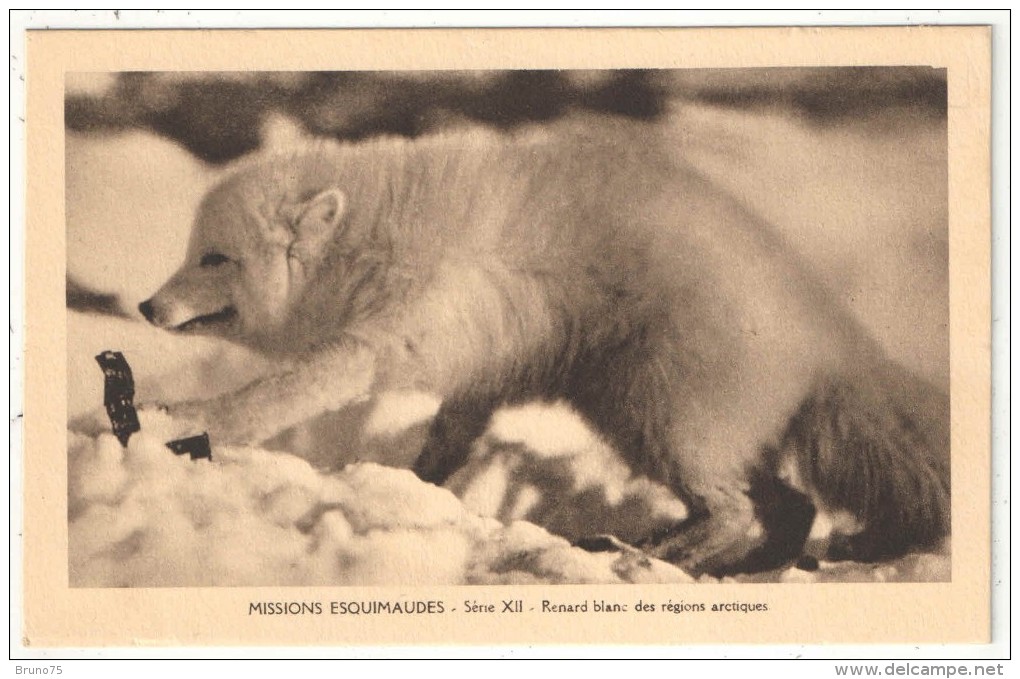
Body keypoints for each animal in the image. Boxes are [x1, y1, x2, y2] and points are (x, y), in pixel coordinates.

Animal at [139, 120, 950, 570]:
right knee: (788, 504)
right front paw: (420, 481)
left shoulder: (402, 325)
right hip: (654, 411)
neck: (372, 238)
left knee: (738, 508)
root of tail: (831, 333)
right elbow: (449, 432)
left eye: (214, 258)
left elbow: (289, 387)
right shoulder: (482, 361)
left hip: (659, 407)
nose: (147, 305)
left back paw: (650, 555)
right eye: (190, 252)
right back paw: (729, 565)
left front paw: (181, 419)